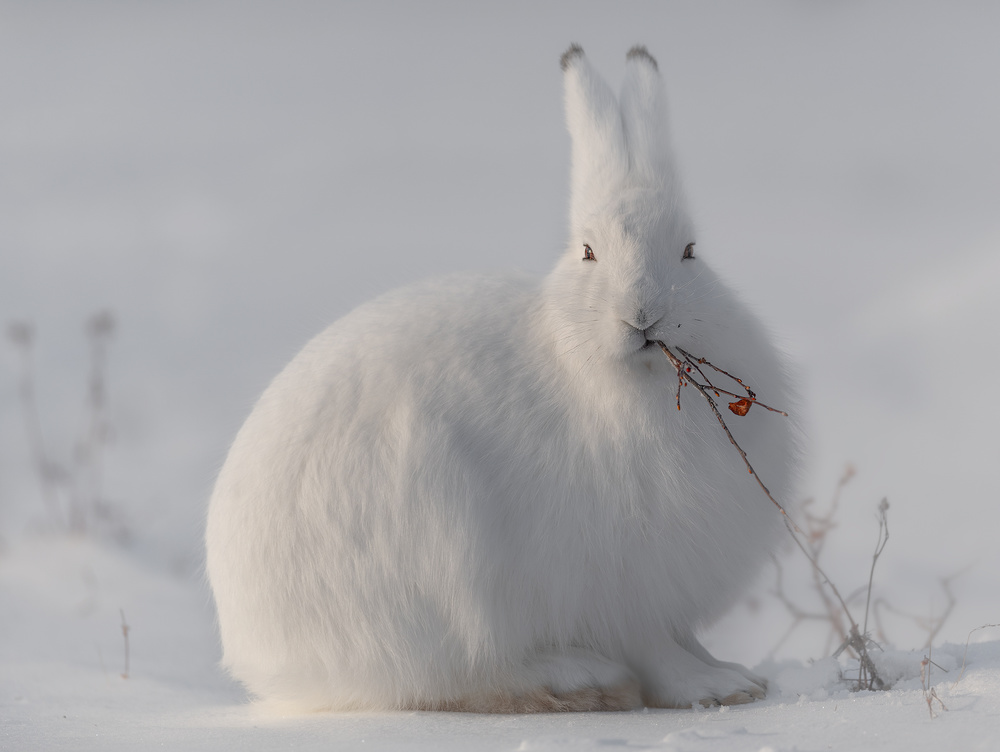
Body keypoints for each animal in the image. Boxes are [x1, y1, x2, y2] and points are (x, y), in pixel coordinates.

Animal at [205, 44, 798, 713]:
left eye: (691, 252)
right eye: (588, 252)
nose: (643, 314)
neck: (615, 378)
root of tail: (256, 652)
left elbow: (683, 639)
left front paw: (737, 677)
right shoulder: (617, 582)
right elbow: (655, 650)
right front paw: (711, 688)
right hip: (439, 561)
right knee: (463, 673)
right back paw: (581, 677)